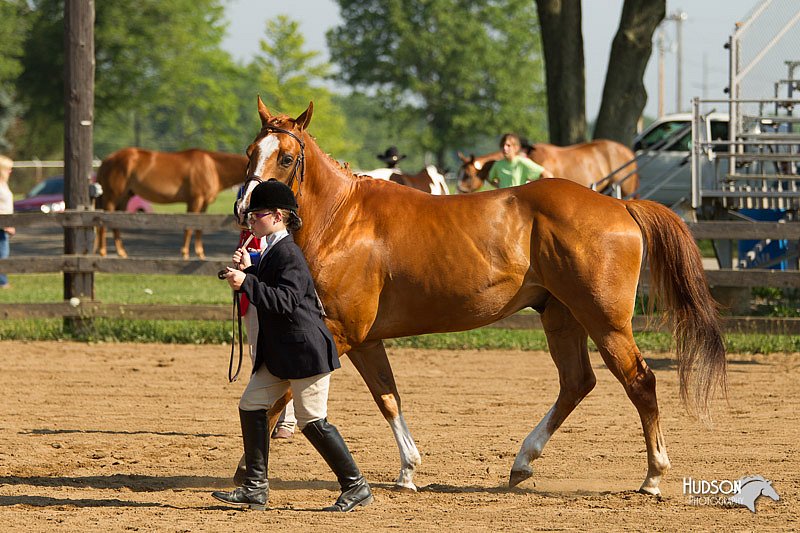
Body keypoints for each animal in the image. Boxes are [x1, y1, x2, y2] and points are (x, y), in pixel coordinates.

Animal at [96, 148, 247, 260]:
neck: (212, 167)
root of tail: (107, 160)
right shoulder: (195, 201)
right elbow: (189, 228)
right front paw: (185, 253)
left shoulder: (204, 204)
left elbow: (199, 228)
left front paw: (200, 254)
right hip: (111, 198)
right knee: (104, 223)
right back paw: (103, 252)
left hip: (125, 198)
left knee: (115, 224)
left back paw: (121, 252)